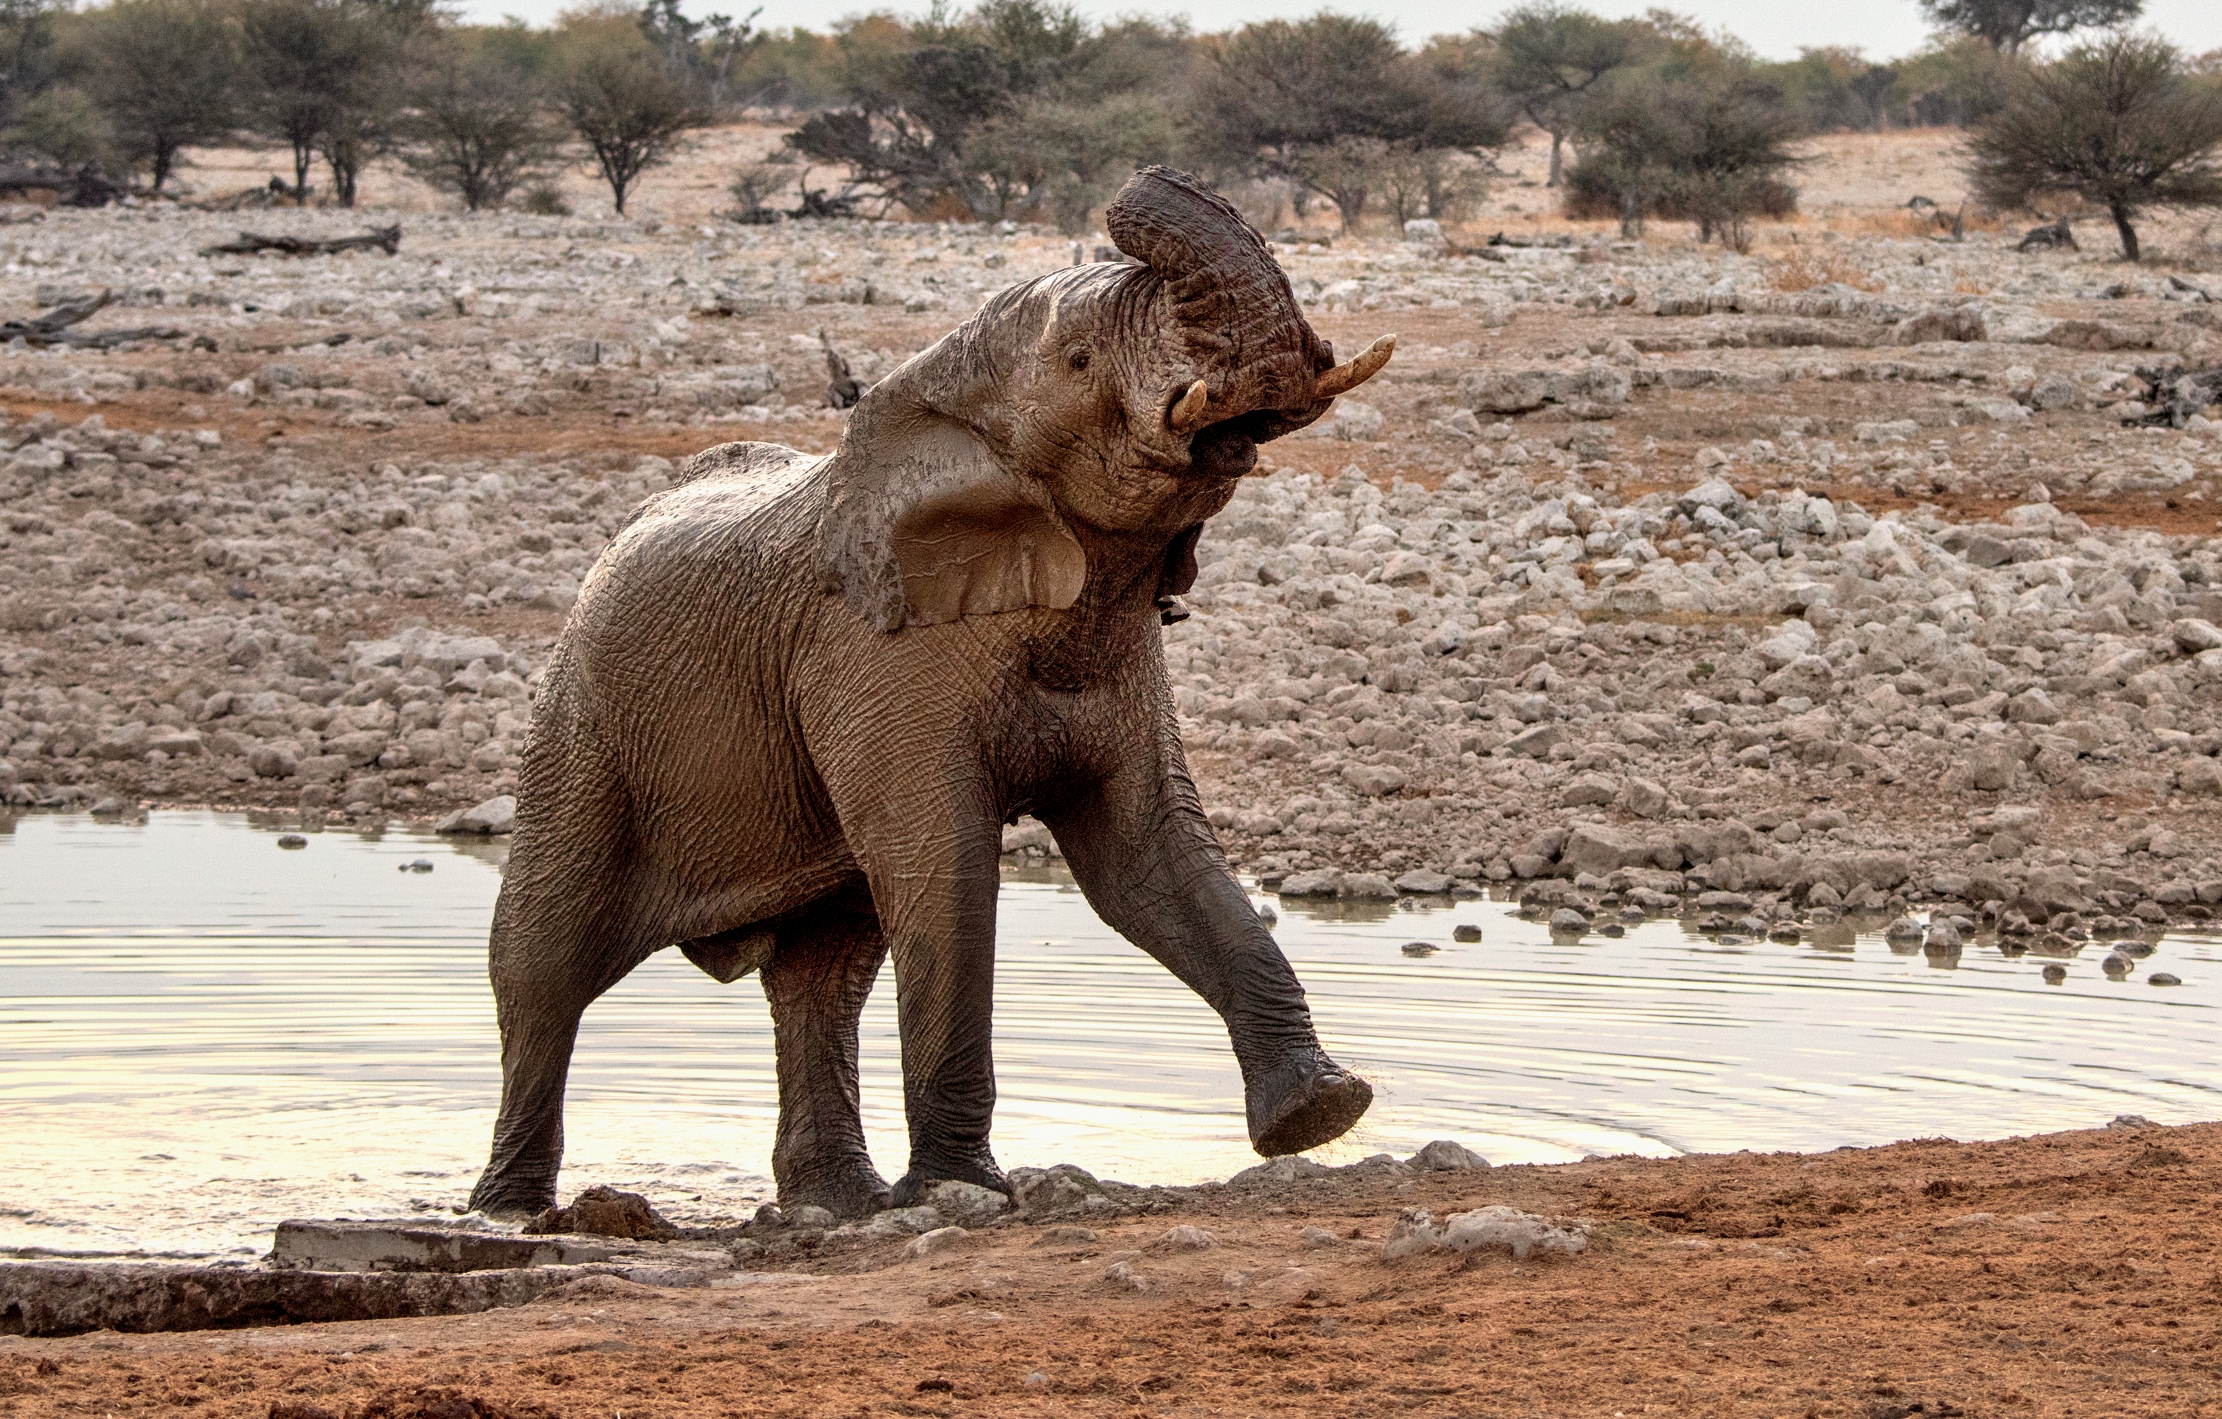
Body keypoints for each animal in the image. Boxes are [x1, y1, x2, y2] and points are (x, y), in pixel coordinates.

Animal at [466, 166, 1396, 1223]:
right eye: (1080, 358)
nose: (1138, 182)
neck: (943, 394)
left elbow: (1147, 856)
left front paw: (1320, 1114)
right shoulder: (874, 654)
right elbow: (945, 868)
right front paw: (963, 1189)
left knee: (822, 975)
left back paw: (838, 1202)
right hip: (578, 729)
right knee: (541, 967)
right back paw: (508, 1212)